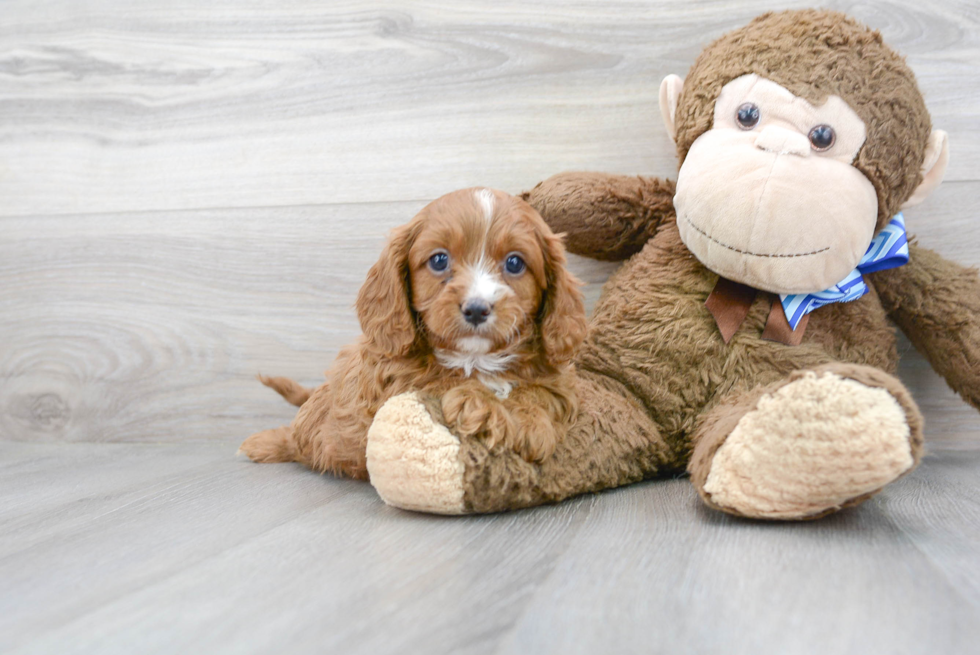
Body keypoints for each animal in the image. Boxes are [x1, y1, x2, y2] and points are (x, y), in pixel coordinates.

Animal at [240, 187, 584, 480]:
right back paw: (263, 442)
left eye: (514, 263)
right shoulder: (393, 381)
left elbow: (542, 392)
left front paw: (529, 420)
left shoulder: (559, 383)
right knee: (299, 438)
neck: (474, 358)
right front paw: (485, 407)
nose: (476, 309)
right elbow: (442, 382)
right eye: (439, 260)